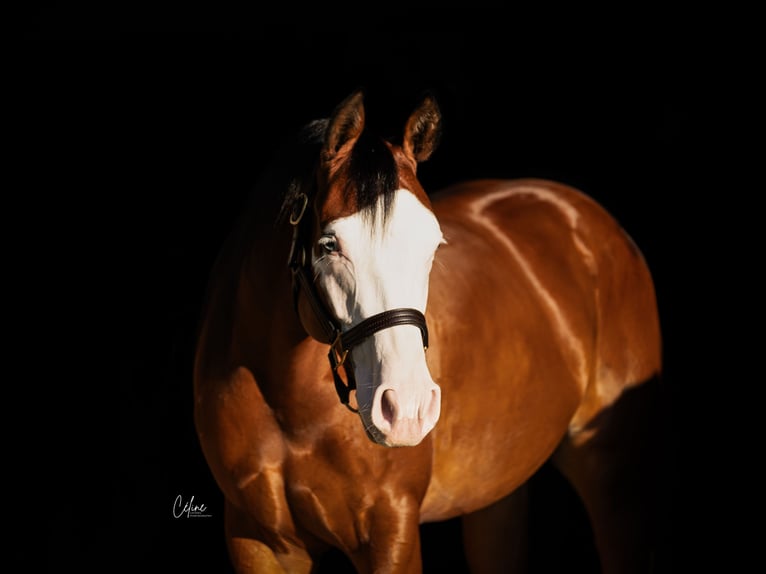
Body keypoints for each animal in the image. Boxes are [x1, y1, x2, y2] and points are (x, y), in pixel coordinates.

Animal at [193, 89, 663, 573]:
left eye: (433, 244)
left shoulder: (391, 531)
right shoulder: (257, 540)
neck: (291, 406)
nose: (408, 409)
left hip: (612, 475)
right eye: (329, 245)